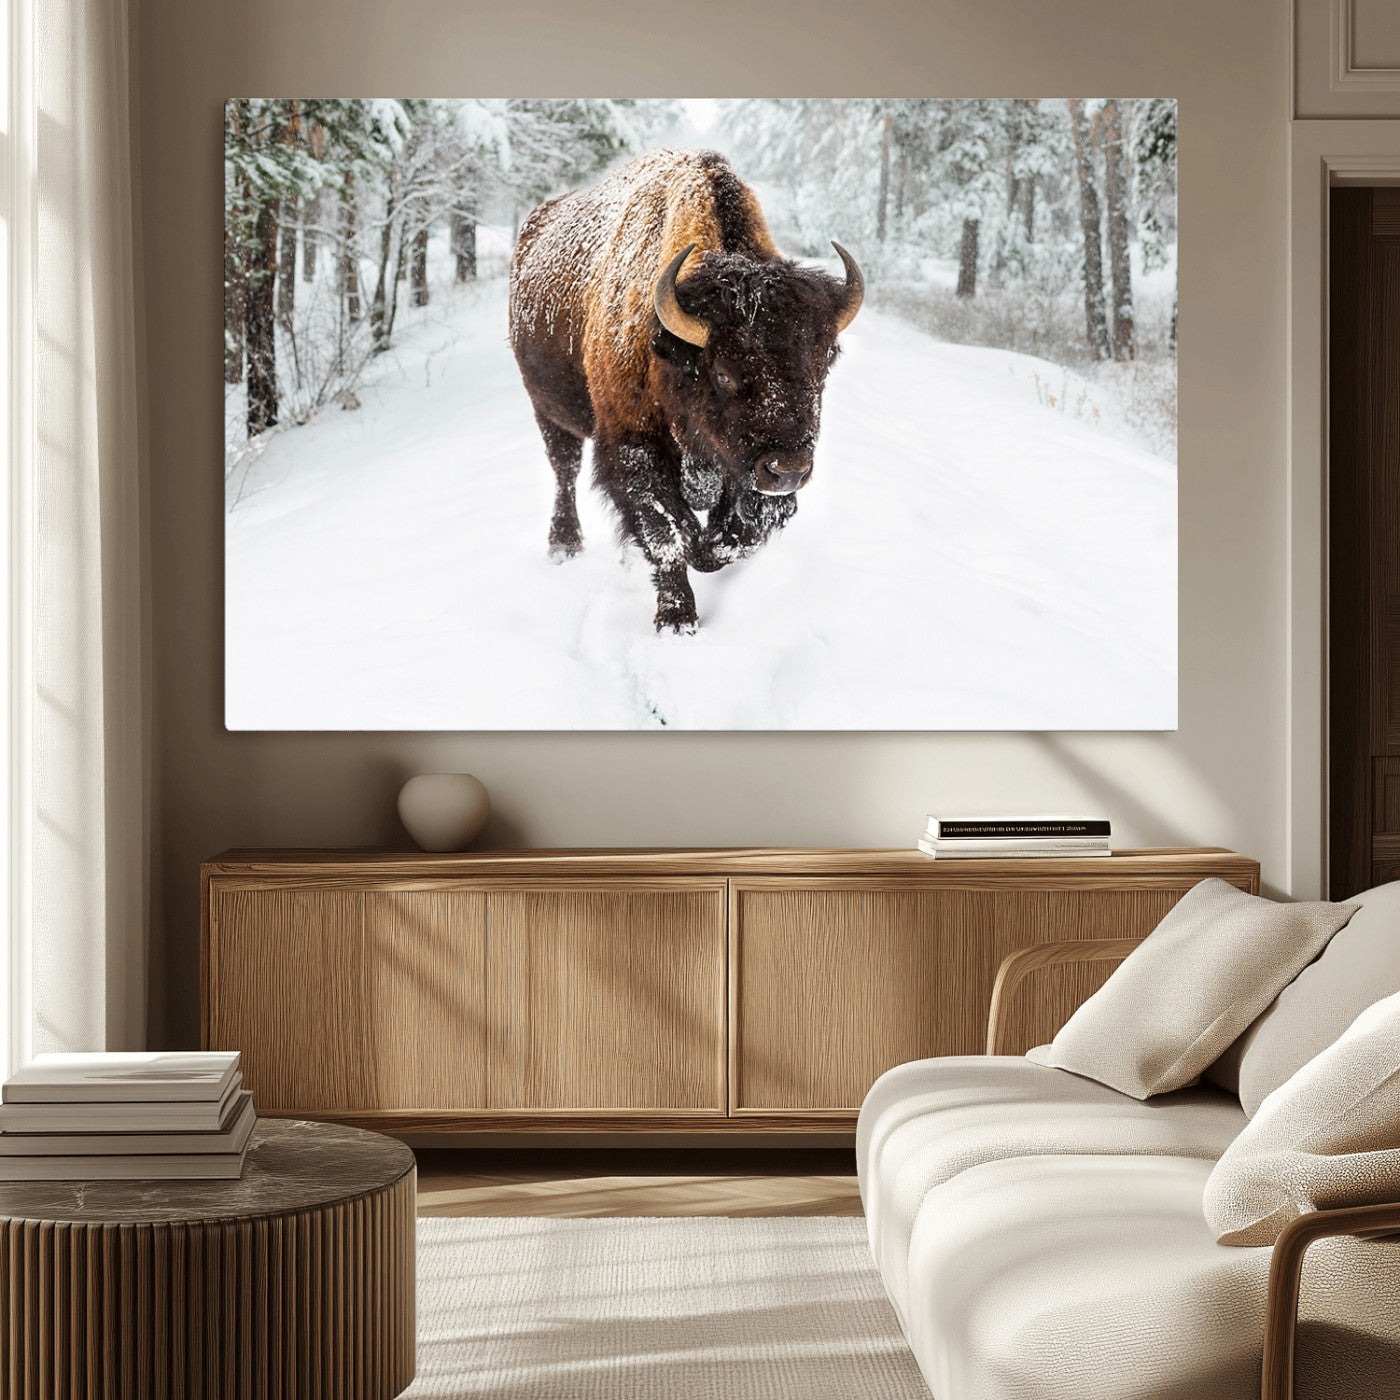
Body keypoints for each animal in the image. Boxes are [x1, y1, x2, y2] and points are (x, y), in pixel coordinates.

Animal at [509, 148, 862, 632]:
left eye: (824, 363)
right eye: (725, 373)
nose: (788, 470)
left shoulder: (740, 469)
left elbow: (737, 535)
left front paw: (707, 549)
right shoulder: (633, 446)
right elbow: (668, 533)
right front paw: (677, 620)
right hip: (547, 409)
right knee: (564, 470)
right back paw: (564, 545)